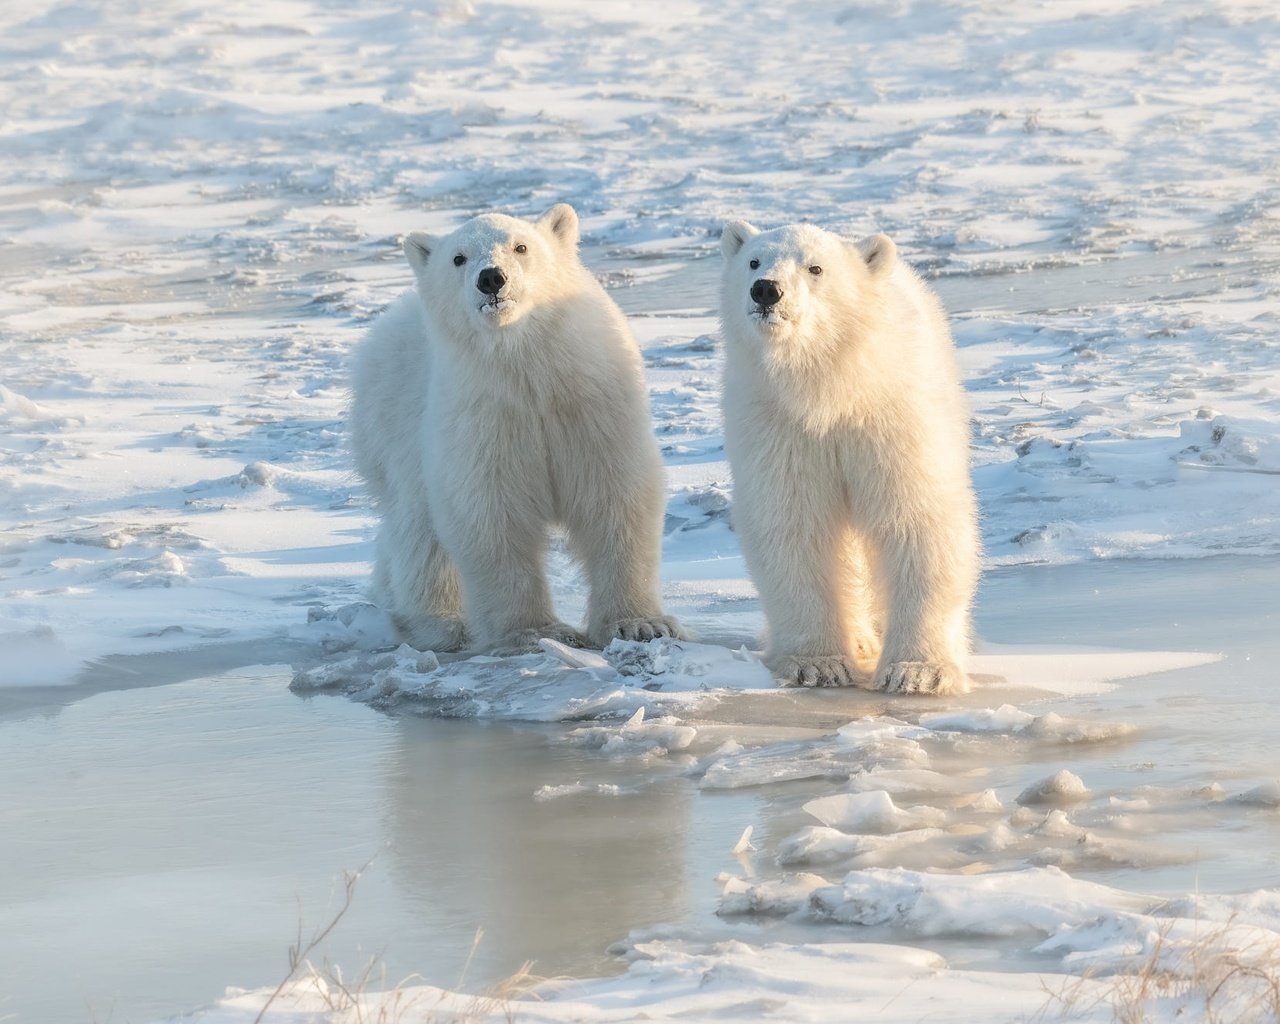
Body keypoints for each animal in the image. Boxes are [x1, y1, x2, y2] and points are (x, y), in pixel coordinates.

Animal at [353, 206, 680, 655]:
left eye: (521, 246)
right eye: (458, 258)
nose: (491, 278)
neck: (528, 368)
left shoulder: (592, 405)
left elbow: (615, 496)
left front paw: (641, 624)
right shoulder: (484, 417)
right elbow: (491, 513)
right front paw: (536, 632)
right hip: (394, 428)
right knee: (418, 529)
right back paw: (439, 624)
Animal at [721, 218, 977, 691]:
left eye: (815, 268)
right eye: (754, 261)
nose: (766, 290)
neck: (830, 389)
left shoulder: (890, 418)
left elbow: (917, 519)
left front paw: (919, 671)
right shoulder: (781, 428)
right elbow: (794, 525)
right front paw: (817, 664)